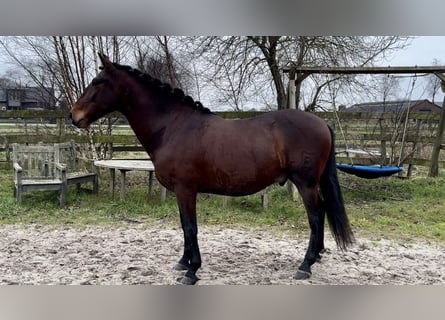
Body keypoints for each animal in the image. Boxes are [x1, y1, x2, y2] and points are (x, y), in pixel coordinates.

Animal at [70, 53, 354, 284]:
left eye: (97, 82)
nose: (74, 116)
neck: (173, 126)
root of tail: (322, 123)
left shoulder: (185, 189)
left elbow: (190, 227)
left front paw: (192, 271)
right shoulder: (180, 192)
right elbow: (184, 226)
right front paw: (183, 262)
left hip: (305, 184)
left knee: (316, 216)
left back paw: (305, 266)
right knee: (322, 212)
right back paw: (316, 257)